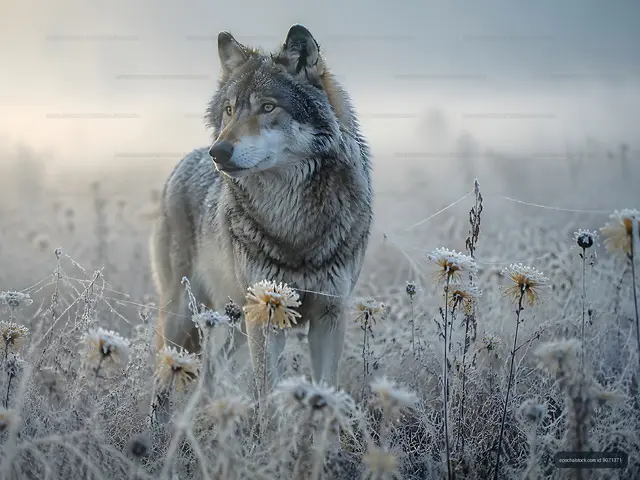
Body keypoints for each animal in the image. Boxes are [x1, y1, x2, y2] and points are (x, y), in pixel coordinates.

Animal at [150, 24, 373, 401]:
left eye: (267, 107)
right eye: (228, 110)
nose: (218, 152)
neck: (293, 223)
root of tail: (182, 163)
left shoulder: (330, 316)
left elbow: (325, 392)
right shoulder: (266, 316)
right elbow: (267, 398)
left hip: (236, 325)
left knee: (211, 371)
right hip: (185, 318)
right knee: (165, 378)